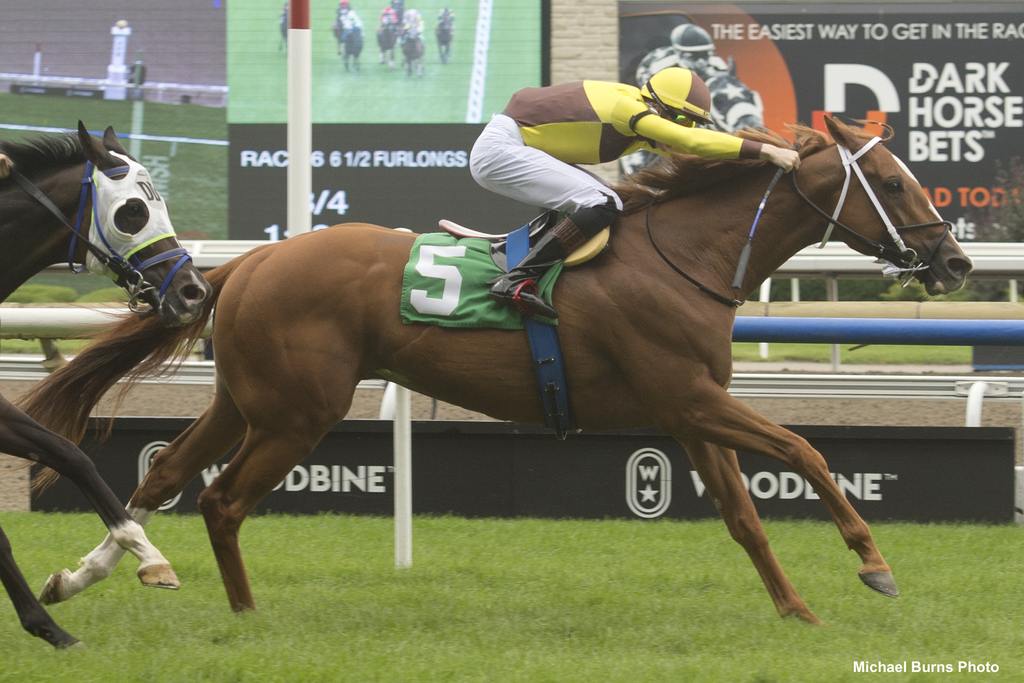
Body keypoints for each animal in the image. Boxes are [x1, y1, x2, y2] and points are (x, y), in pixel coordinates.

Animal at [22, 118, 966, 626]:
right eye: (891, 181)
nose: (954, 261)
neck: (684, 256)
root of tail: (247, 263)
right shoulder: (692, 397)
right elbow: (807, 449)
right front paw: (873, 563)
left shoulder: (693, 411)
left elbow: (744, 517)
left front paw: (795, 608)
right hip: (297, 413)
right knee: (221, 498)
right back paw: (247, 614)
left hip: (246, 400)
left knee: (167, 475)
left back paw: (86, 575)